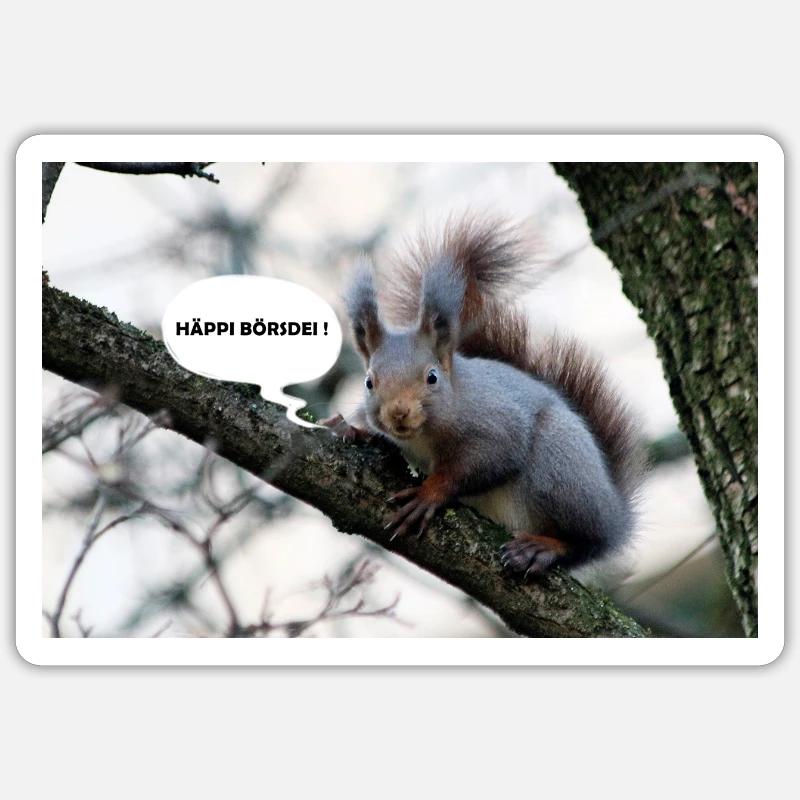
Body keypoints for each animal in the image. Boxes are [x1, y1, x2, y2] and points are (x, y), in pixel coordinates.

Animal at [322, 215, 645, 578]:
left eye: (431, 377)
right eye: (368, 382)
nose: (398, 412)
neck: (424, 435)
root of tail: (615, 513)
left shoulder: (494, 423)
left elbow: (486, 460)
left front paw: (429, 493)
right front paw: (350, 429)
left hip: (560, 469)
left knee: (584, 542)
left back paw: (542, 548)